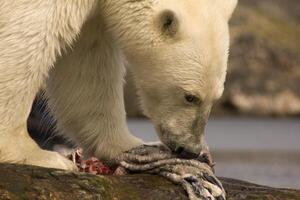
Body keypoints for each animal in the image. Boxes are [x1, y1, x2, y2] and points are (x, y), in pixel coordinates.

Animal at [0, 0, 237, 170]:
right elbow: (29, 36)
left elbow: (86, 66)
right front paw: (34, 155)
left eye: (216, 98)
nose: (190, 149)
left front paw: (134, 147)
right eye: (190, 96)